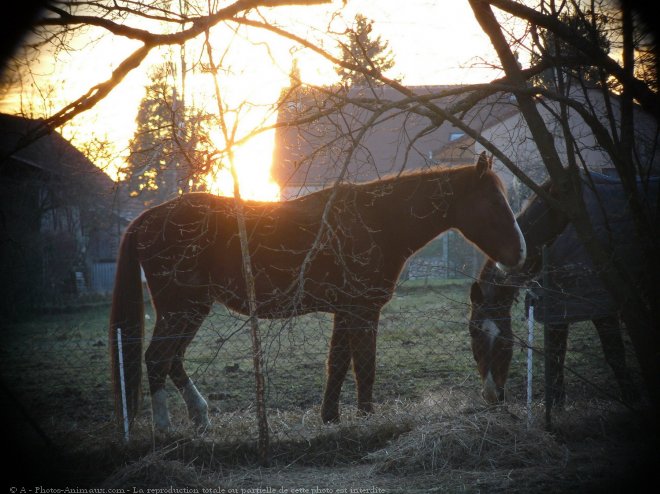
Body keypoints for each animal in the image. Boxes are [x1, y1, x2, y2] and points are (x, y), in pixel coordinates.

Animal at [112, 151, 524, 432]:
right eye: (493, 202)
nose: (520, 252)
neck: (376, 221)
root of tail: (146, 218)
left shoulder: (345, 311)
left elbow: (338, 365)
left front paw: (331, 419)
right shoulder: (362, 310)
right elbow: (365, 366)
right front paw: (366, 418)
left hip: (190, 308)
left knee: (172, 359)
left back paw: (199, 417)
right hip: (181, 308)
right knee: (157, 359)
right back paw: (166, 429)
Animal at [470, 174, 656, 410]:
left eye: (504, 338)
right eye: (473, 333)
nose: (492, 395)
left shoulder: (601, 305)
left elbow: (614, 353)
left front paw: (632, 398)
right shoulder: (555, 306)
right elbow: (555, 354)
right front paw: (556, 405)